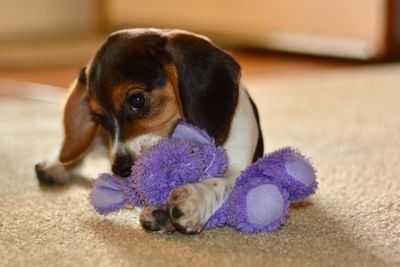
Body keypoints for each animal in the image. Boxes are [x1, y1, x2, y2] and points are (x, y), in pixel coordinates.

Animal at [34, 28, 264, 234]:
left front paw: (194, 198)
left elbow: (220, 182)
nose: (120, 169)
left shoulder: (239, 162)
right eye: (99, 119)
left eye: (137, 100)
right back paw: (54, 165)